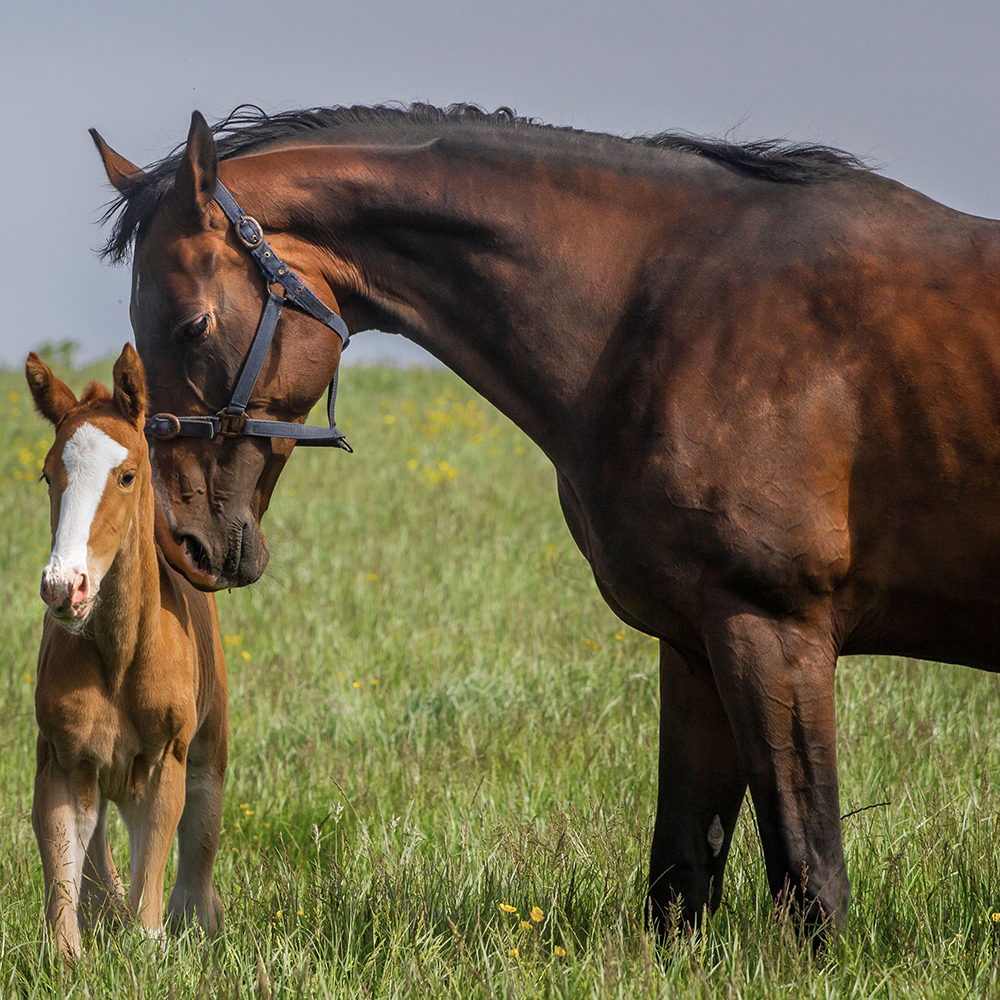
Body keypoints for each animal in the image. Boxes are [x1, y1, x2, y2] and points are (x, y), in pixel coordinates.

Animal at [26, 345, 228, 961]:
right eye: (48, 474)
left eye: (127, 476)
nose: (63, 587)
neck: (119, 657)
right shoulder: (62, 760)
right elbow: (64, 885)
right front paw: (72, 954)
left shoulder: (165, 761)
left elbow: (151, 899)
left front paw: (152, 943)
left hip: (209, 745)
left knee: (201, 834)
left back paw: (199, 918)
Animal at [89, 104, 1000, 935]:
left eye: (194, 324)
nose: (184, 543)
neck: (667, 308)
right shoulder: (699, 642)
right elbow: (680, 877)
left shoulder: (775, 629)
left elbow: (811, 878)